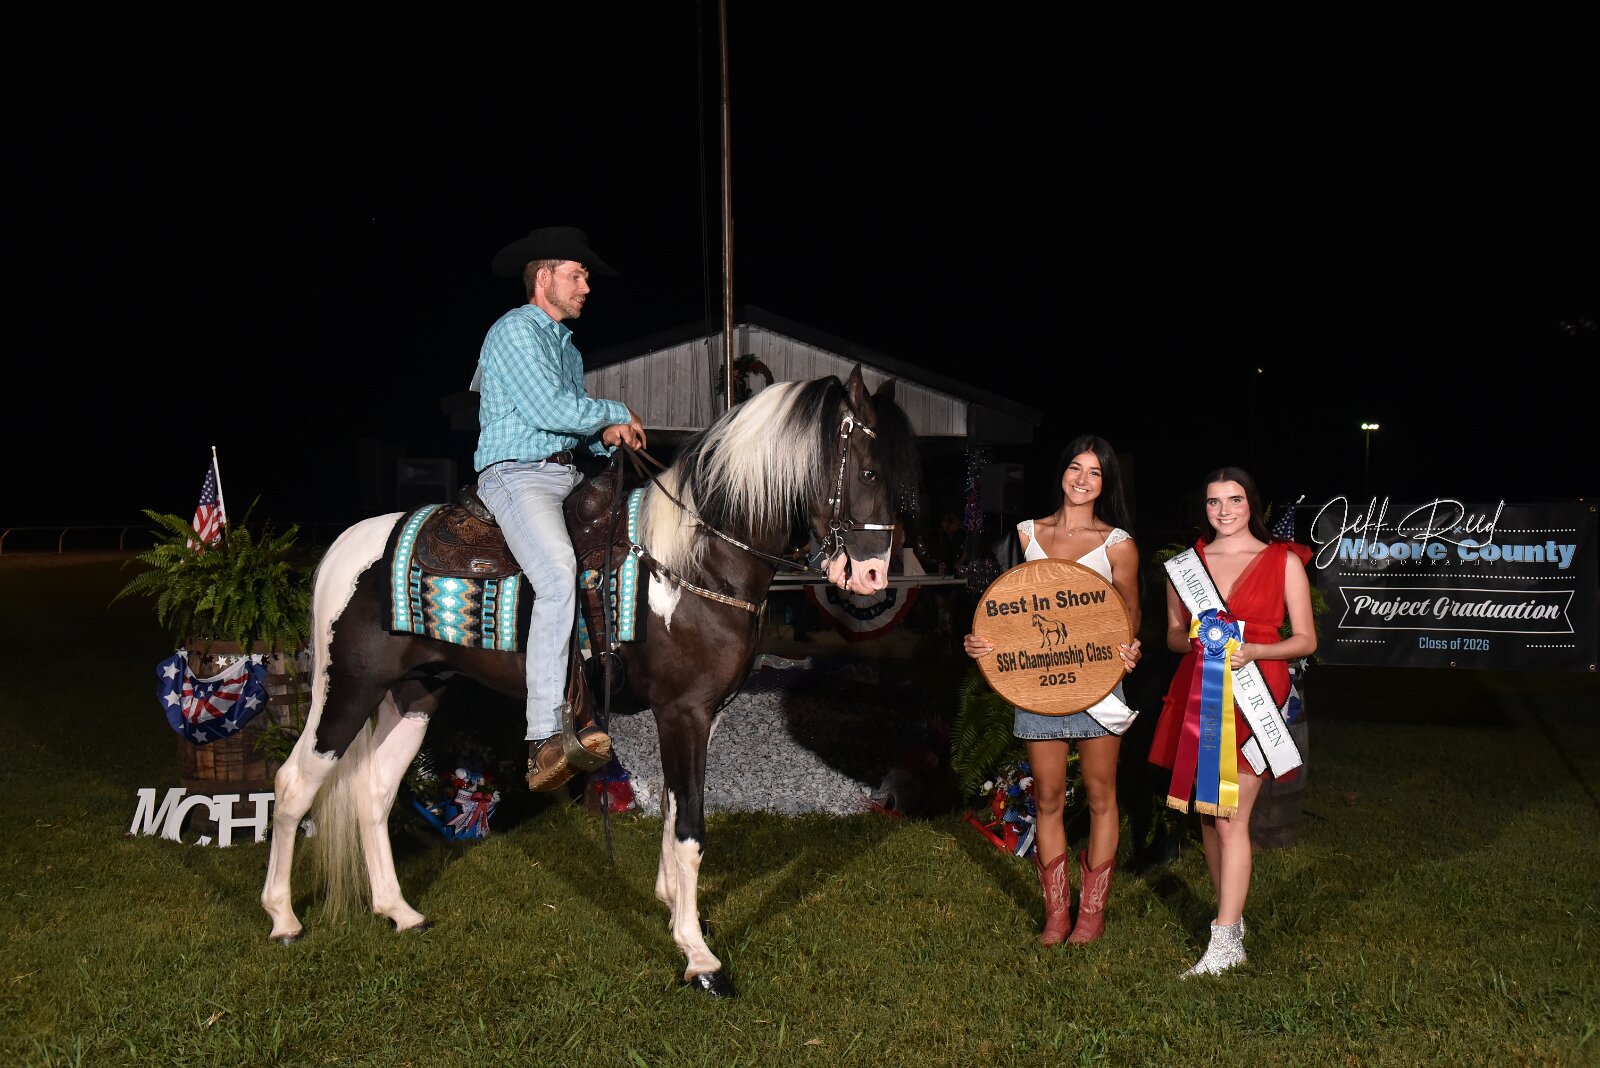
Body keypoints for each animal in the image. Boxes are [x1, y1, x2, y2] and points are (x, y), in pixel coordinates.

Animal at [259, 365, 919, 998]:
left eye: (898, 475)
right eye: (867, 470)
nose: (872, 578)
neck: (695, 559)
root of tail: (346, 547)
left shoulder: (699, 715)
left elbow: (676, 807)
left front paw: (671, 906)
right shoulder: (683, 711)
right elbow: (691, 826)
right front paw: (698, 956)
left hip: (415, 694)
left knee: (373, 792)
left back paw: (398, 912)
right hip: (346, 691)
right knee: (294, 784)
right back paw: (284, 919)